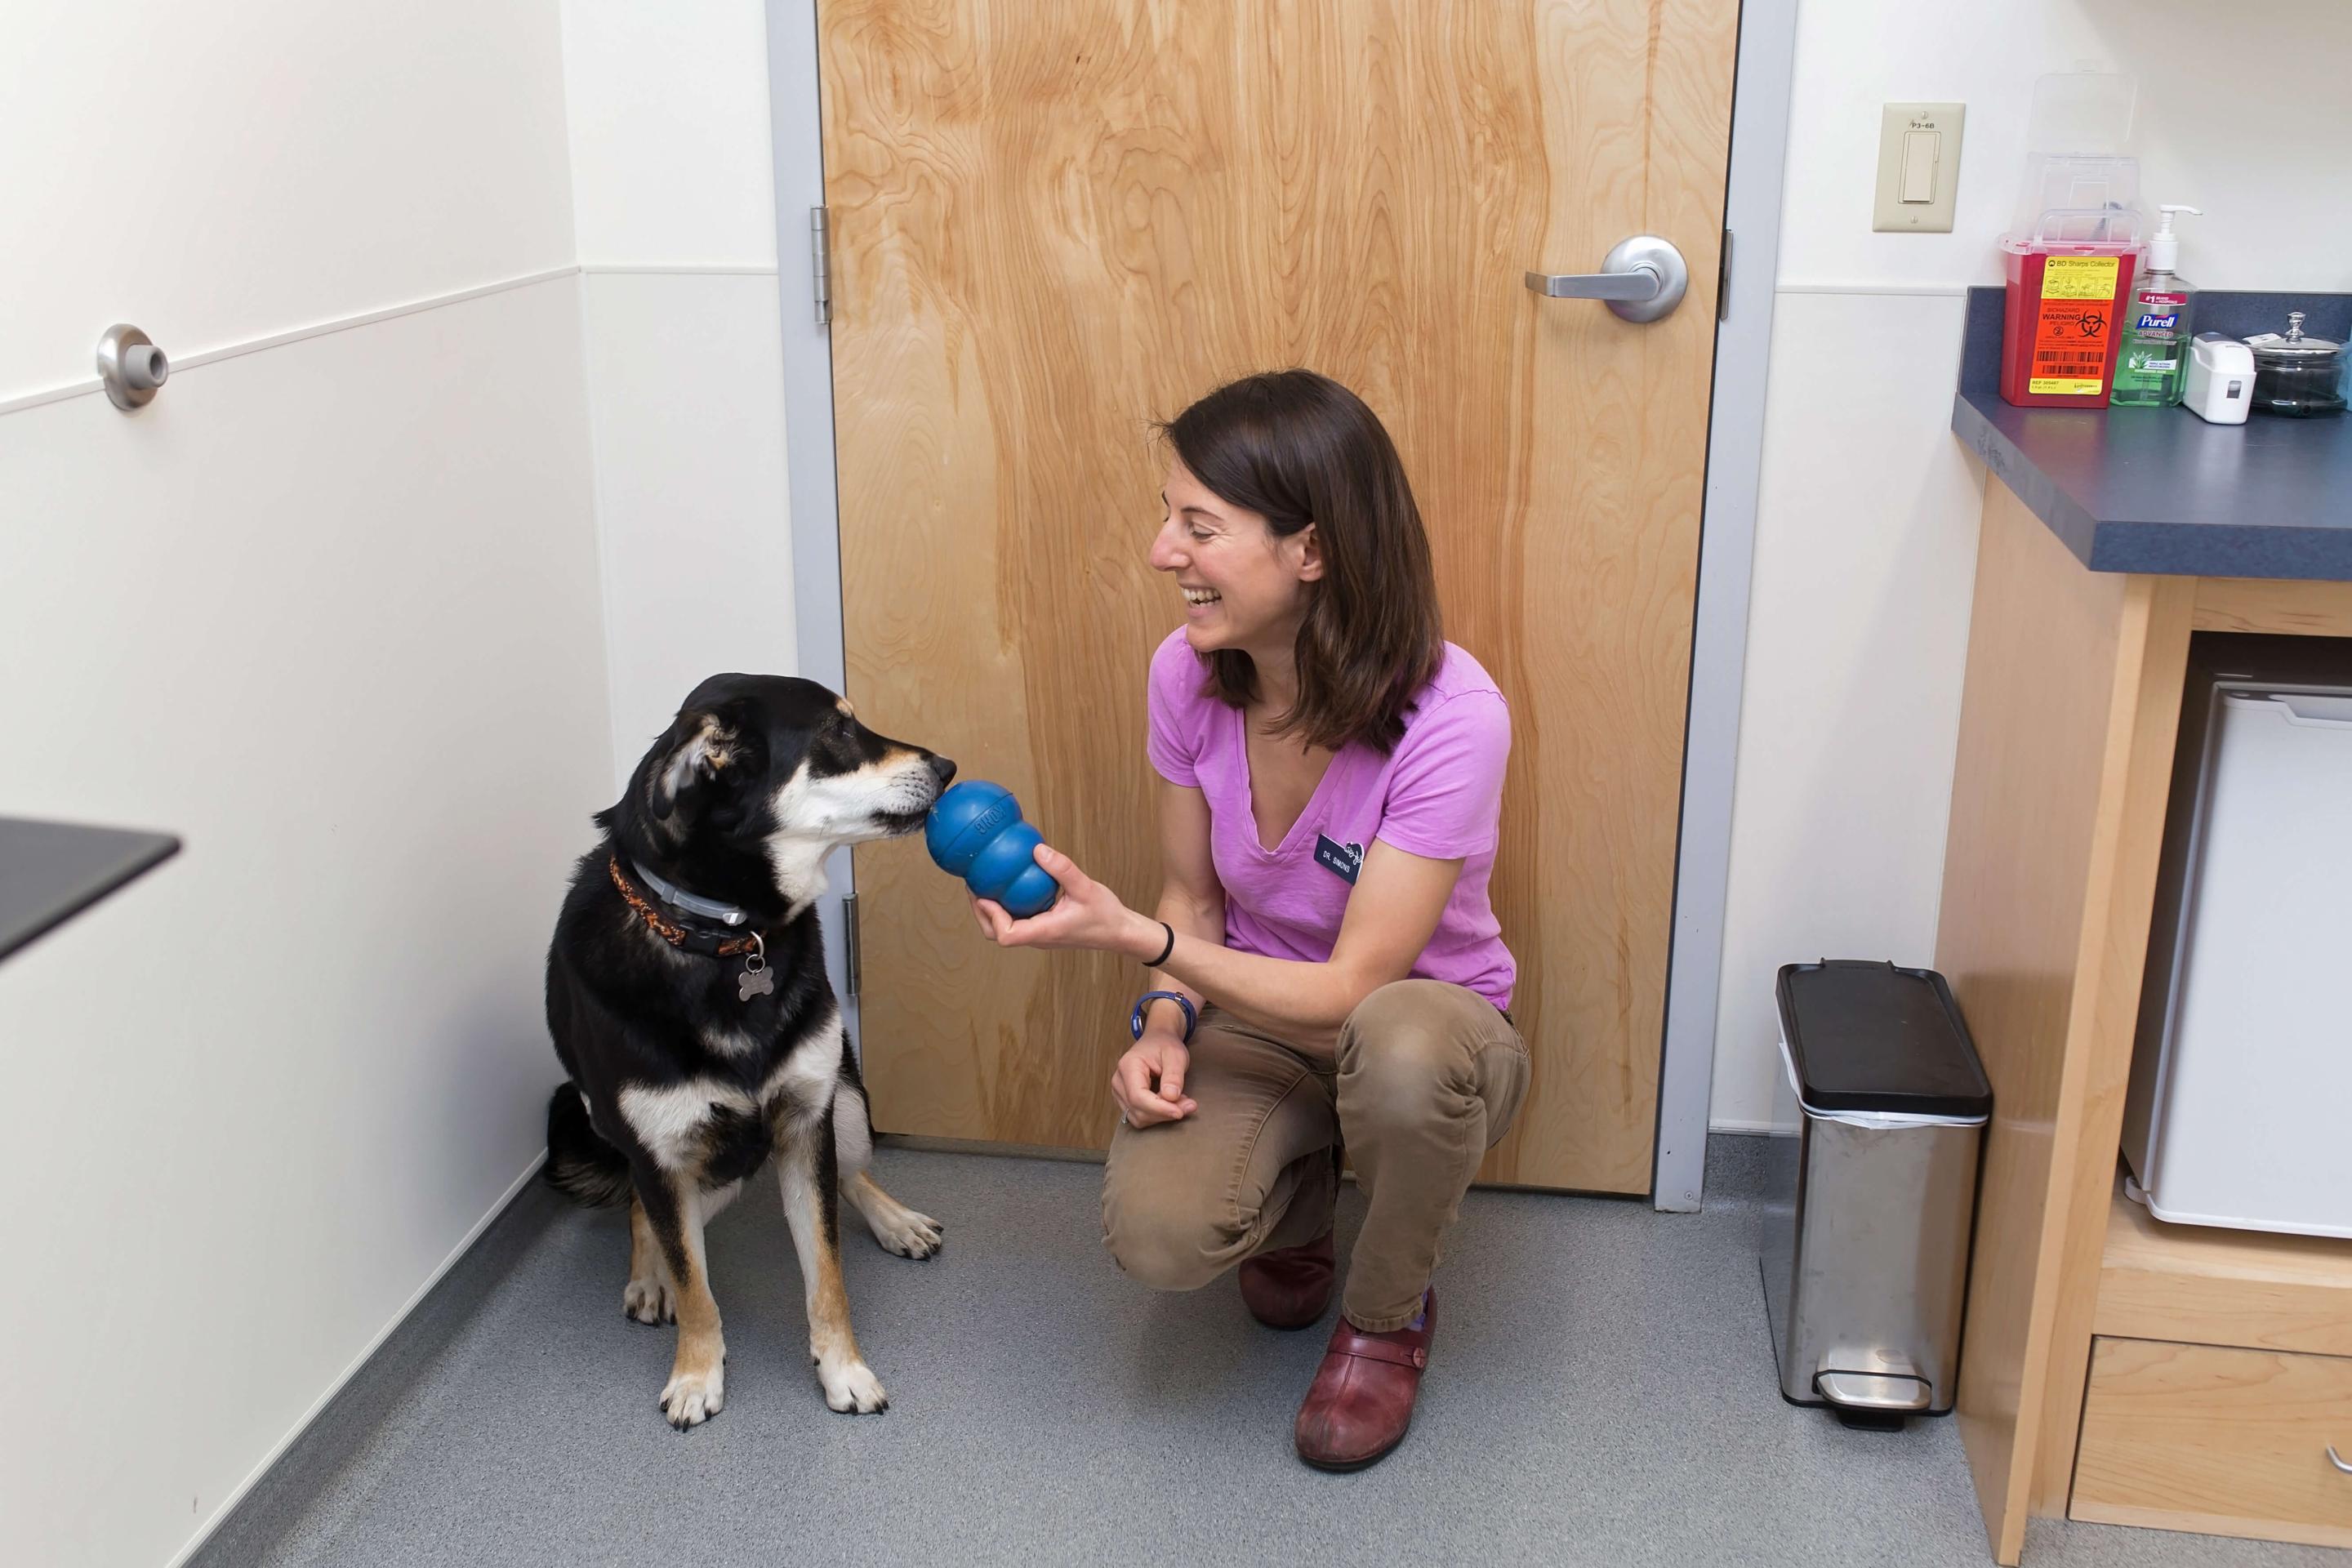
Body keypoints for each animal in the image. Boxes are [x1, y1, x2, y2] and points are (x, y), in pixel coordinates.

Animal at [541, 667, 955, 1429]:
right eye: (838, 730)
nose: (948, 767)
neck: (727, 936)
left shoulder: (807, 1120)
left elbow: (827, 1272)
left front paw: (844, 1372)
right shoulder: (661, 1153)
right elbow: (696, 1285)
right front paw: (696, 1374)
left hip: (845, 1101)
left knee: (850, 1174)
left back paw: (897, 1222)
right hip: (664, 1150)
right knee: (646, 1216)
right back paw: (649, 1280)